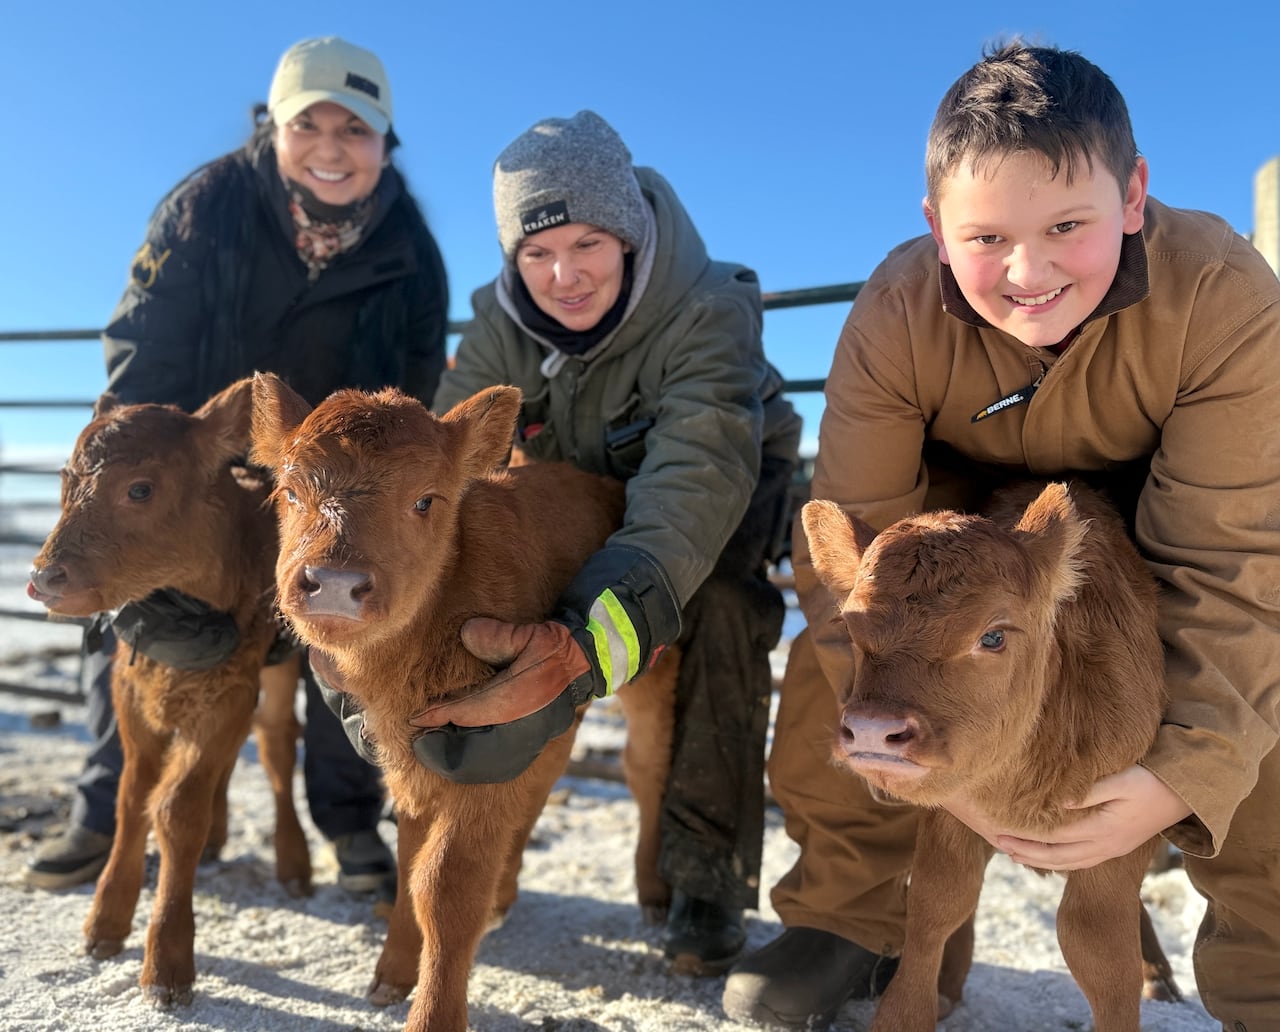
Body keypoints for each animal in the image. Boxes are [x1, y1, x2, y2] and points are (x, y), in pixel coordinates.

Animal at [25, 378, 311, 1006]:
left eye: (140, 489)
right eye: (64, 478)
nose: (43, 578)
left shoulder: (231, 691)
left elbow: (177, 808)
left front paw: (167, 964)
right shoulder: (131, 687)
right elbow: (132, 795)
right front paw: (104, 924)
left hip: (280, 670)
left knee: (276, 746)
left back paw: (294, 863)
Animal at [250, 373, 677, 1032]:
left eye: (427, 501)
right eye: (290, 492)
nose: (335, 585)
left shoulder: (484, 752)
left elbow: (444, 887)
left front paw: (433, 1014)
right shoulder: (411, 756)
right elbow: (408, 860)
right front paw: (391, 975)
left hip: (649, 677)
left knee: (648, 767)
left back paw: (653, 892)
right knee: (546, 782)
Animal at [801, 480, 1180, 1032]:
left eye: (993, 635)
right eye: (851, 631)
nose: (873, 729)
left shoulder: (1122, 828)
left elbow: (1098, 950)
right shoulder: (951, 813)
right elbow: (937, 904)